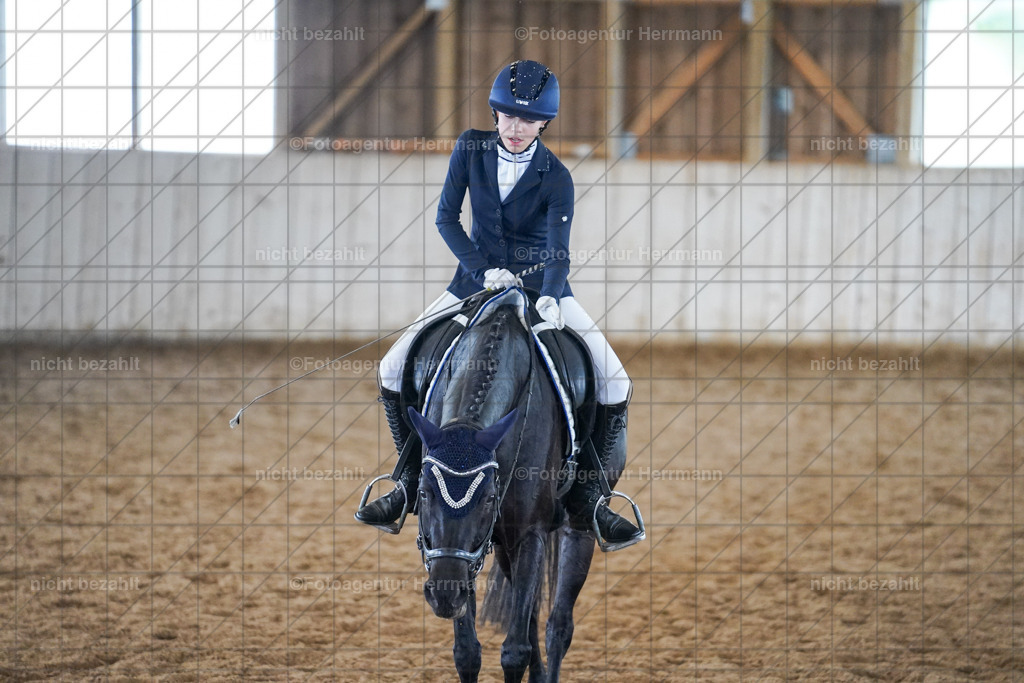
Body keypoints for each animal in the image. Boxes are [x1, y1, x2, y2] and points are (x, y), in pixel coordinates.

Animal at [407, 289, 598, 682]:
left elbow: (514, 652)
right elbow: (468, 652)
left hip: (576, 528)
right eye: (423, 493)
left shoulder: (529, 534)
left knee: (558, 624)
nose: (445, 594)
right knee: (531, 615)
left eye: (489, 497)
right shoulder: (469, 554)